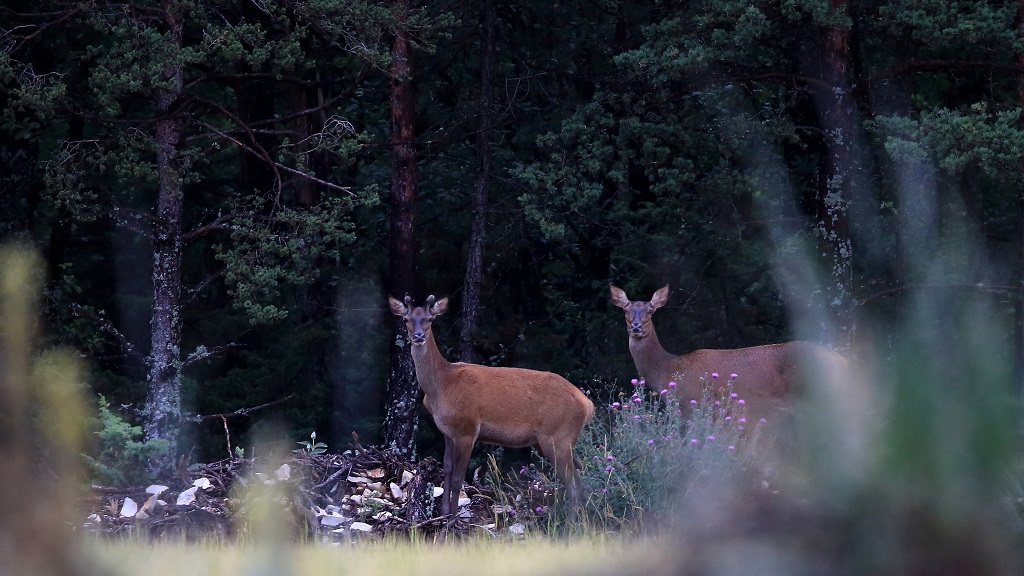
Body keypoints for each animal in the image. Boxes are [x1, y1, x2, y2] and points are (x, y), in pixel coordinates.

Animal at [387, 291, 598, 516]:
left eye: (429, 318)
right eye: (407, 319)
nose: (418, 336)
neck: (440, 387)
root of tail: (587, 405)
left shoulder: (468, 428)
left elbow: (458, 479)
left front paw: (453, 517)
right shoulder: (447, 432)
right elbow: (447, 470)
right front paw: (444, 513)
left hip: (557, 436)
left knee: (573, 486)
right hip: (555, 441)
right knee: (580, 480)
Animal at [610, 284, 843, 428]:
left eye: (650, 311)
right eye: (625, 310)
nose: (636, 327)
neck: (670, 369)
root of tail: (842, 361)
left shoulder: (692, 405)